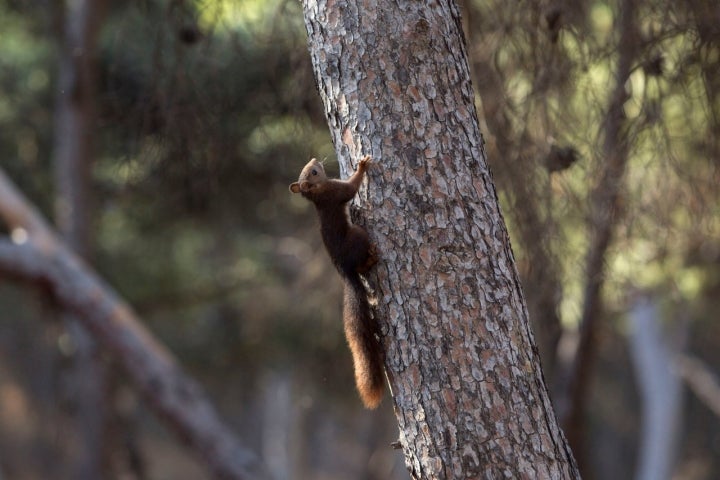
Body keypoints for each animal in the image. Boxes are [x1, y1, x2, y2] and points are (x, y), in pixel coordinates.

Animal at [290, 155, 386, 408]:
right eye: (313, 172)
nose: (315, 158)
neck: (317, 194)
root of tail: (345, 271)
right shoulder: (336, 191)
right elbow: (351, 188)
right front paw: (362, 165)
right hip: (358, 235)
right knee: (362, 262)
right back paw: (371, 257)